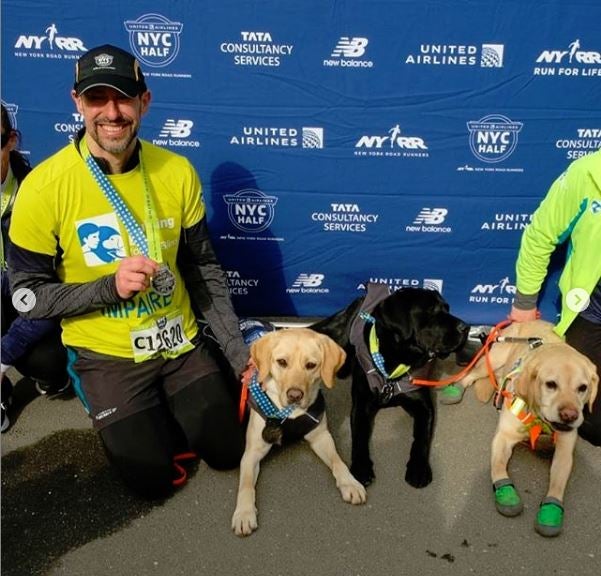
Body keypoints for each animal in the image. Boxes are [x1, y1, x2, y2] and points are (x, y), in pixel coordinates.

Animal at [232, 328, 366, 536]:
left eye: (310, 365)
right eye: (281, 362)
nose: (294, 395)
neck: (290, 414)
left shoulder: (321, 437)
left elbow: (338, 462)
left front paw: (350, 483)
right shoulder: (251, 454)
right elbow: (246, 485)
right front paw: (244, 513)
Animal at [310, 282, 468, 488]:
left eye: (447, 309)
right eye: (430, 311)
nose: (466, 327)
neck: (395, 360)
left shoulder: (423, 405)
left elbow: (422, 438)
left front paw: (418, 468)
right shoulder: (361, 405)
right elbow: (359, 436)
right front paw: (361, 468)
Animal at [460, 320, 596, 536]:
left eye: (582, 388)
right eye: (551, 384)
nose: (570, 415)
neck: (540, 420)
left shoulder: (565, 452)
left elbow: (557, 483)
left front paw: (550, 511)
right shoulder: (503, 438)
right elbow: (498, 467)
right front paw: (506, 494)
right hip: (494, 357)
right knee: (470, 374)